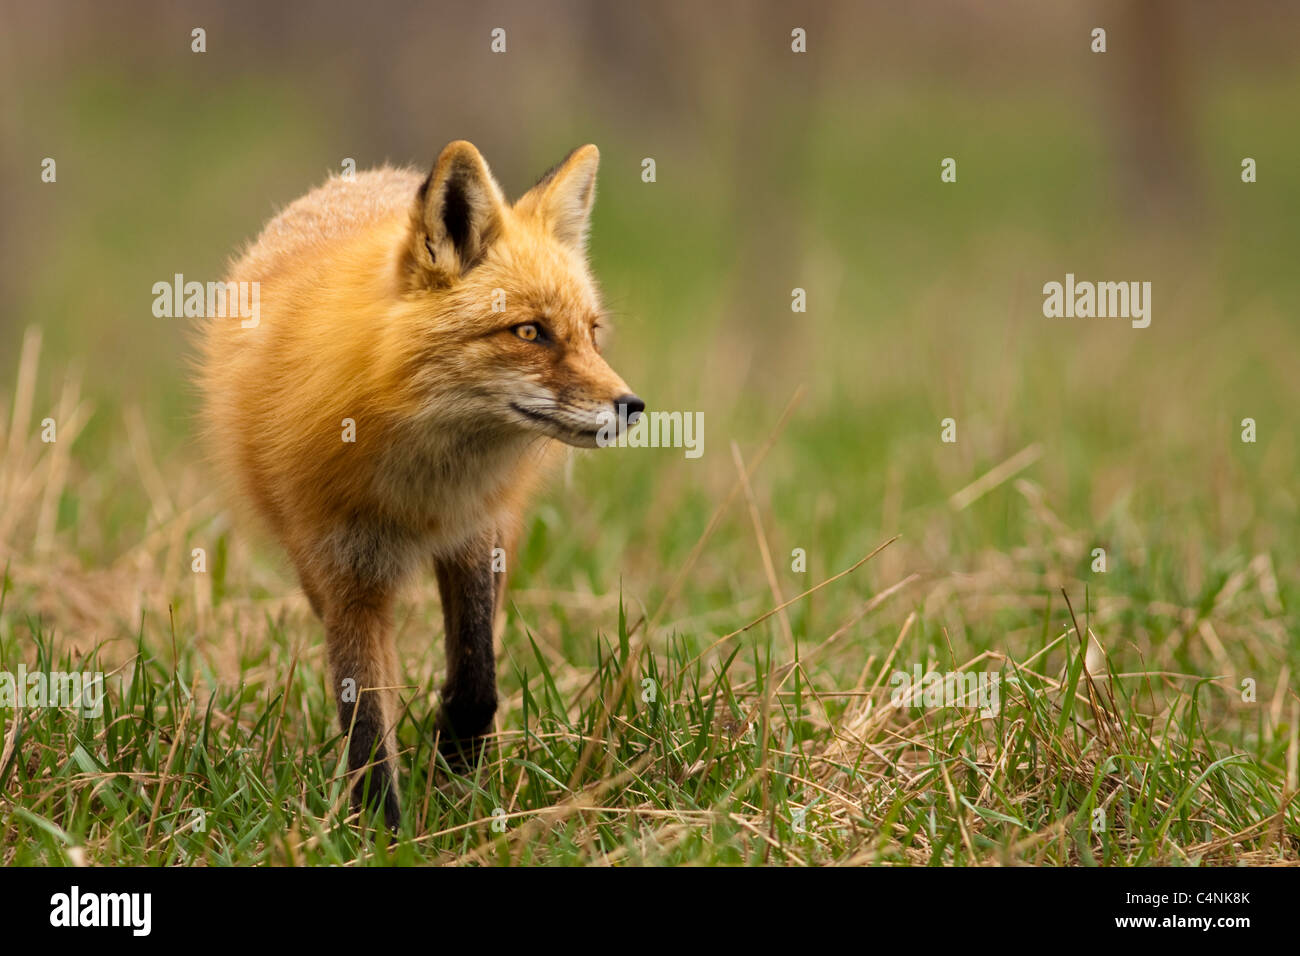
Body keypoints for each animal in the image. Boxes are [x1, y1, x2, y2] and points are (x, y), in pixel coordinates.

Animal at [200, 141, 642, 832]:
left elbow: (477, 678)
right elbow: (364, 717)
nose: (632, 406)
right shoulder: (344, 569)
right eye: (529, 332)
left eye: (591, 332)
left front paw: (453, 760)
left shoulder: (474, 535)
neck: (420, 486)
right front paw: (382, 832)